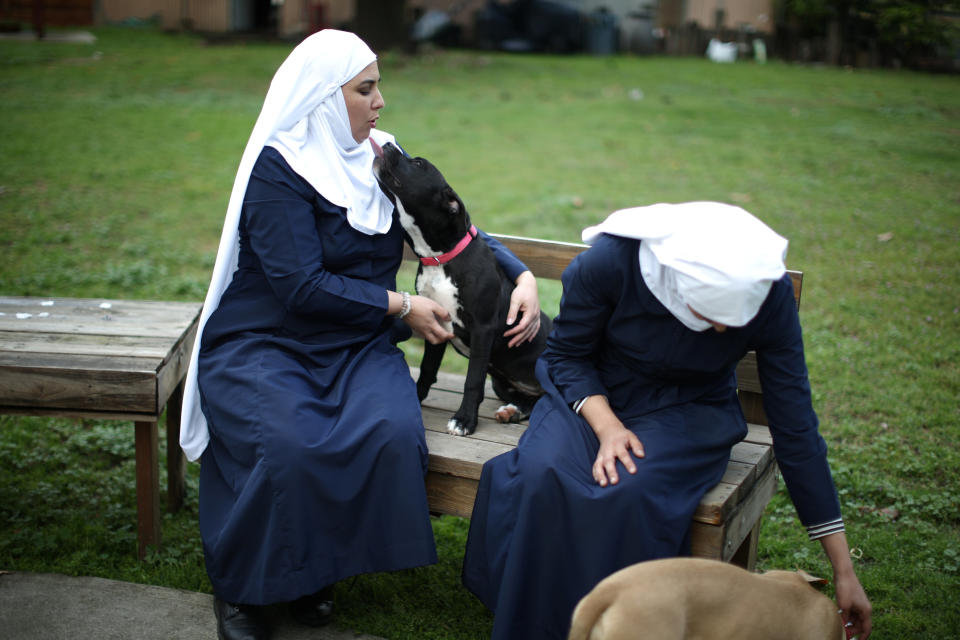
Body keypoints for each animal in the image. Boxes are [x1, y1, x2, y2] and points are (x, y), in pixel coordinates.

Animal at [376, 142, 552, 438]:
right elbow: (427, 369)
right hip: (502, 382)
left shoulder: (483, 329)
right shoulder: (435, 322)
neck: (440, 258)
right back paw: (512, 410)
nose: (387, 144)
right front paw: (415, 398)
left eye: (418, 163)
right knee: (534, 401)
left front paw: (465, 420)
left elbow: (473, 379)